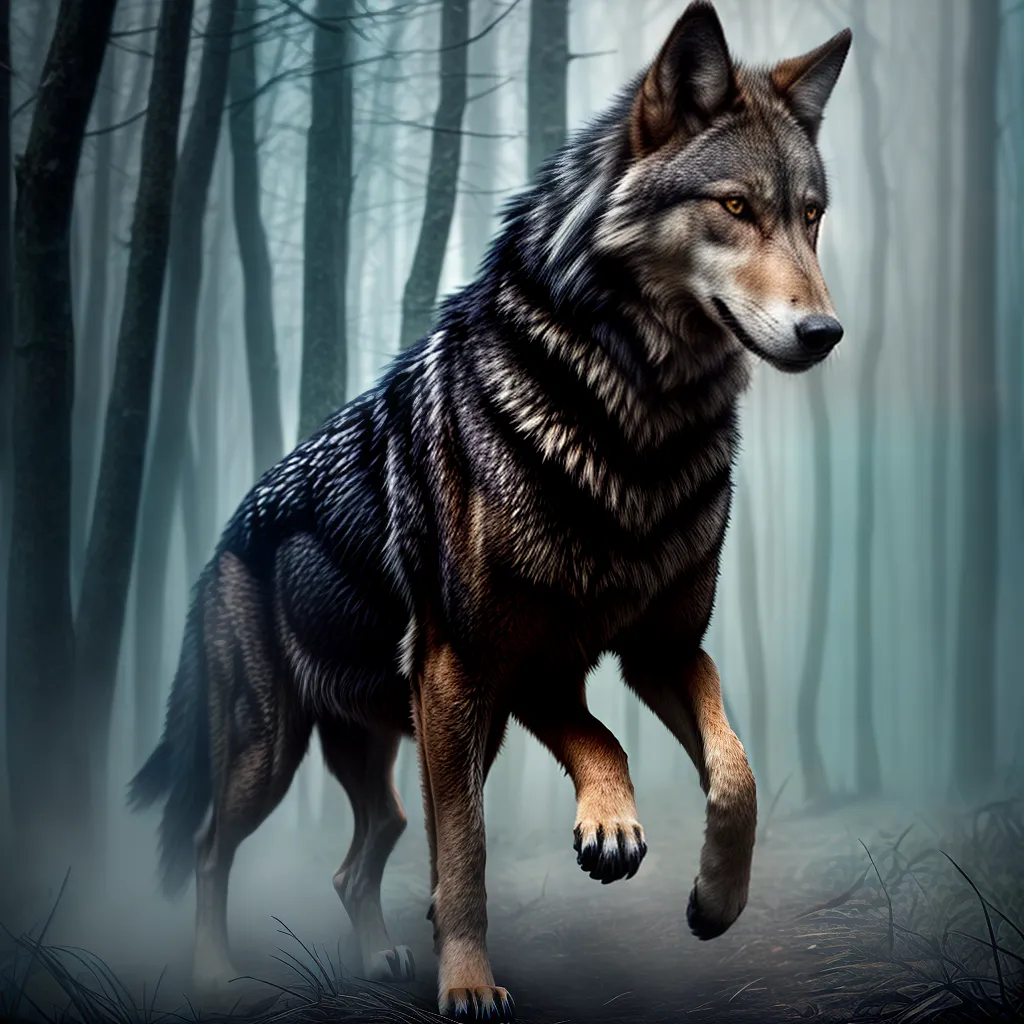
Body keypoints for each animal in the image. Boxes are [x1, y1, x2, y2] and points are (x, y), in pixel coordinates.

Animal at [129, 2, 851, 1019]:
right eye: (737, 207)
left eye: (811, 216)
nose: (827, 333)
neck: (638, 427)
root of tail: (222, 539)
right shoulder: (473, 664)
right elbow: (471, 849)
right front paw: (470, 981)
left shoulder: (646, 653)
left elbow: (732, 770)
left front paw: (710, 895)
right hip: (269, 757)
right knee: (211, 847)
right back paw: (213, 975)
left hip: (407, 740)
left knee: (367, 854)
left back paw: (381, 957)